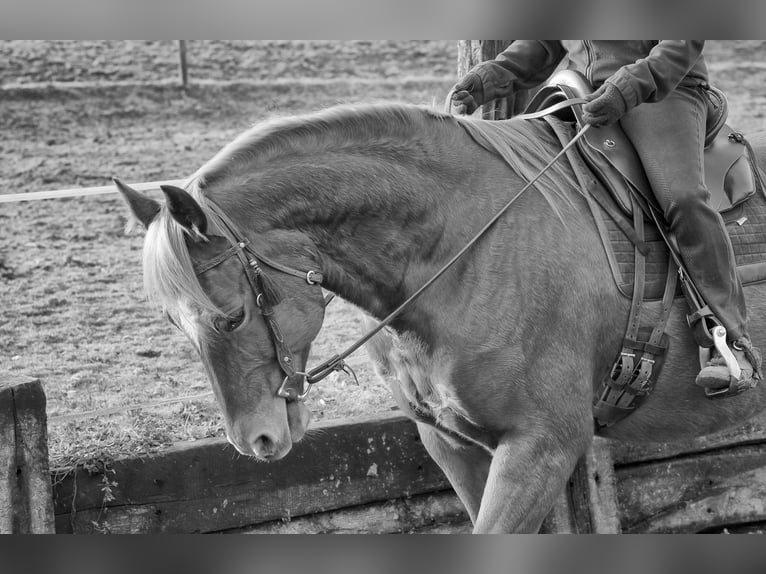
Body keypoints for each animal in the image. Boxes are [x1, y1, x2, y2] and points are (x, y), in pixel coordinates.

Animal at [115, 102, 766, 533]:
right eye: (174, 324)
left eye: (228, 318)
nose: (256, 439)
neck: (462, 249)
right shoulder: (452, 441)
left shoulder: (542, 447)